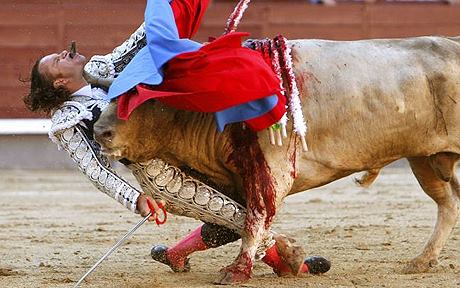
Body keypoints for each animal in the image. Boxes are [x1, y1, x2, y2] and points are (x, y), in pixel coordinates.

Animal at [92, 35, 460, 284]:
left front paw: (238, 270)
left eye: (144, 98)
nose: (99, 131)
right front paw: (289, 259)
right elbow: (223, 224)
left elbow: (253, 220)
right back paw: (423, 261)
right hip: (425, 159)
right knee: (449, 202)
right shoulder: (233, 179)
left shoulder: (272, 170)